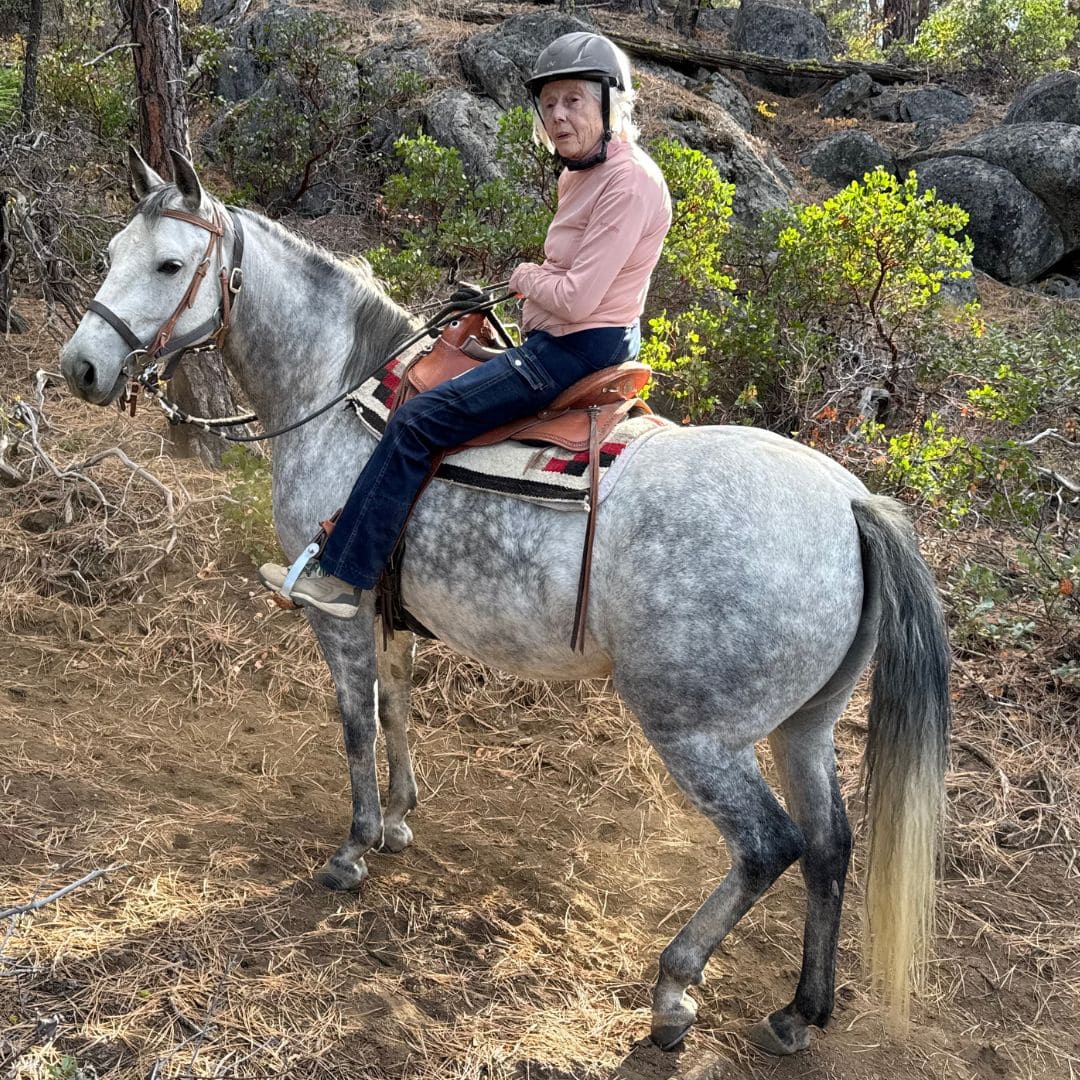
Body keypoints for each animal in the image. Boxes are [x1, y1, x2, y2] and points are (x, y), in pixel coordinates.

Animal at [59, 149, 950, 1056]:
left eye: (171, 265)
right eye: (112, 252)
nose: (81, 367)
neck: (338, 389)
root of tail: (851, 505)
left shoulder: (336, 606)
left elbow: (355, 722)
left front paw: (354, 849)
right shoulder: (389, 611)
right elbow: (397, 704)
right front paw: (399, 822)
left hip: (696, 731)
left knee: (769, 847)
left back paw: (673, 989)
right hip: (807, 724)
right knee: (831, 846)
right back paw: (801, 1010)